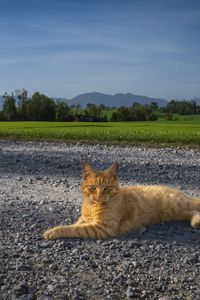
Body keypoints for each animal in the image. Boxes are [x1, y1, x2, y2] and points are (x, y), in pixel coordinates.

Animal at [43, 161, 200, 240]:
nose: (99, 195)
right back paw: (195, 222)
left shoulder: (102, 228)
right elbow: (76, 224)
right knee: (192, 211)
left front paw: (53, 231)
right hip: (177, 212)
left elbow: (73, 228)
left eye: (107, 188)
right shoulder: (84, 220)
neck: (92, 206)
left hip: (178, 205)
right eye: (93, 187)